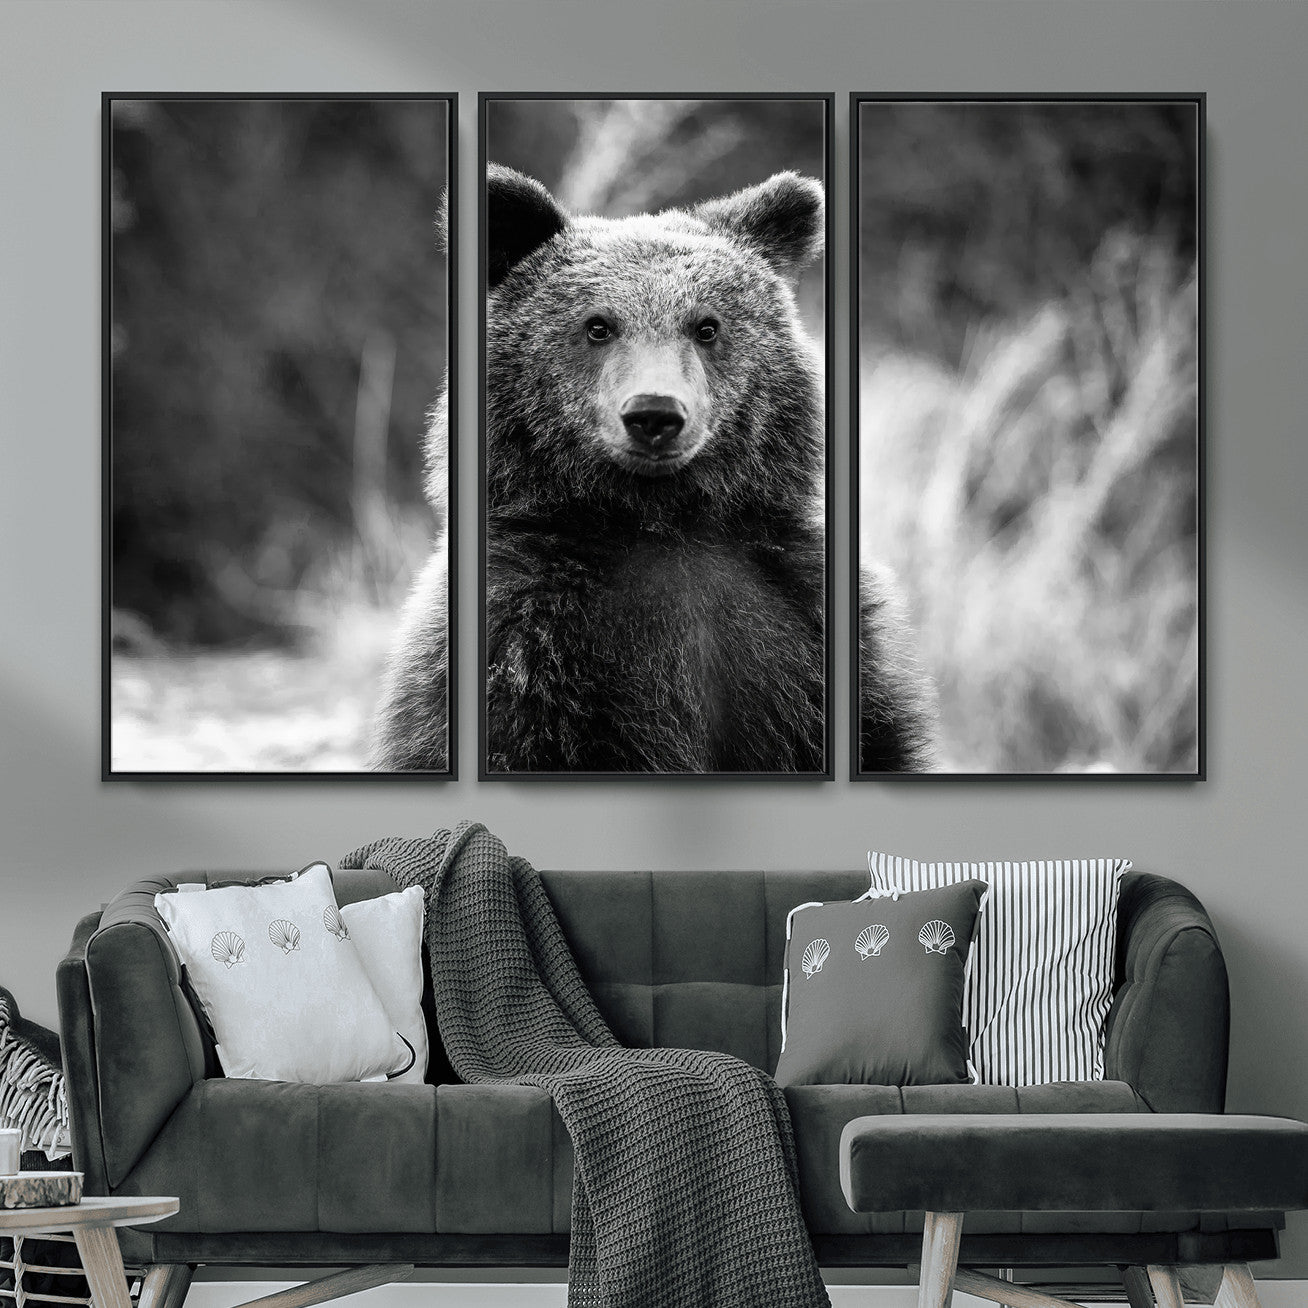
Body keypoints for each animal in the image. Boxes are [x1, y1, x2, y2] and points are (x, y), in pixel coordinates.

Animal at [371, 165, 936, 774]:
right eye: (598, 325)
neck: (660, 520)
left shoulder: (799, 621)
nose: (654, 414)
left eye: (706, 326)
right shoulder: (527, 641)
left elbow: (877, 738)